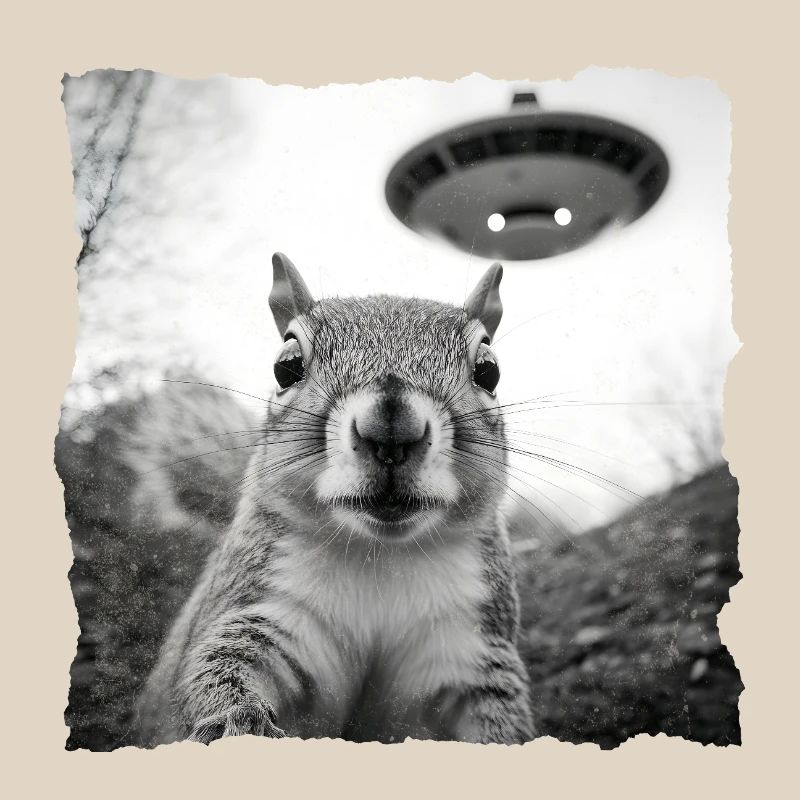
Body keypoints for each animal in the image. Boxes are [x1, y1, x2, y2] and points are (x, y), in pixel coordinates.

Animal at [135, 252, 535, 746]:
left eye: (489, 370)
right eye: (286, 366)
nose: (392, 428)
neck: (381, 555)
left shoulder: (469, 648)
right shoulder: (266, 609)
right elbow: (220, 665)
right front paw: (237, 723)